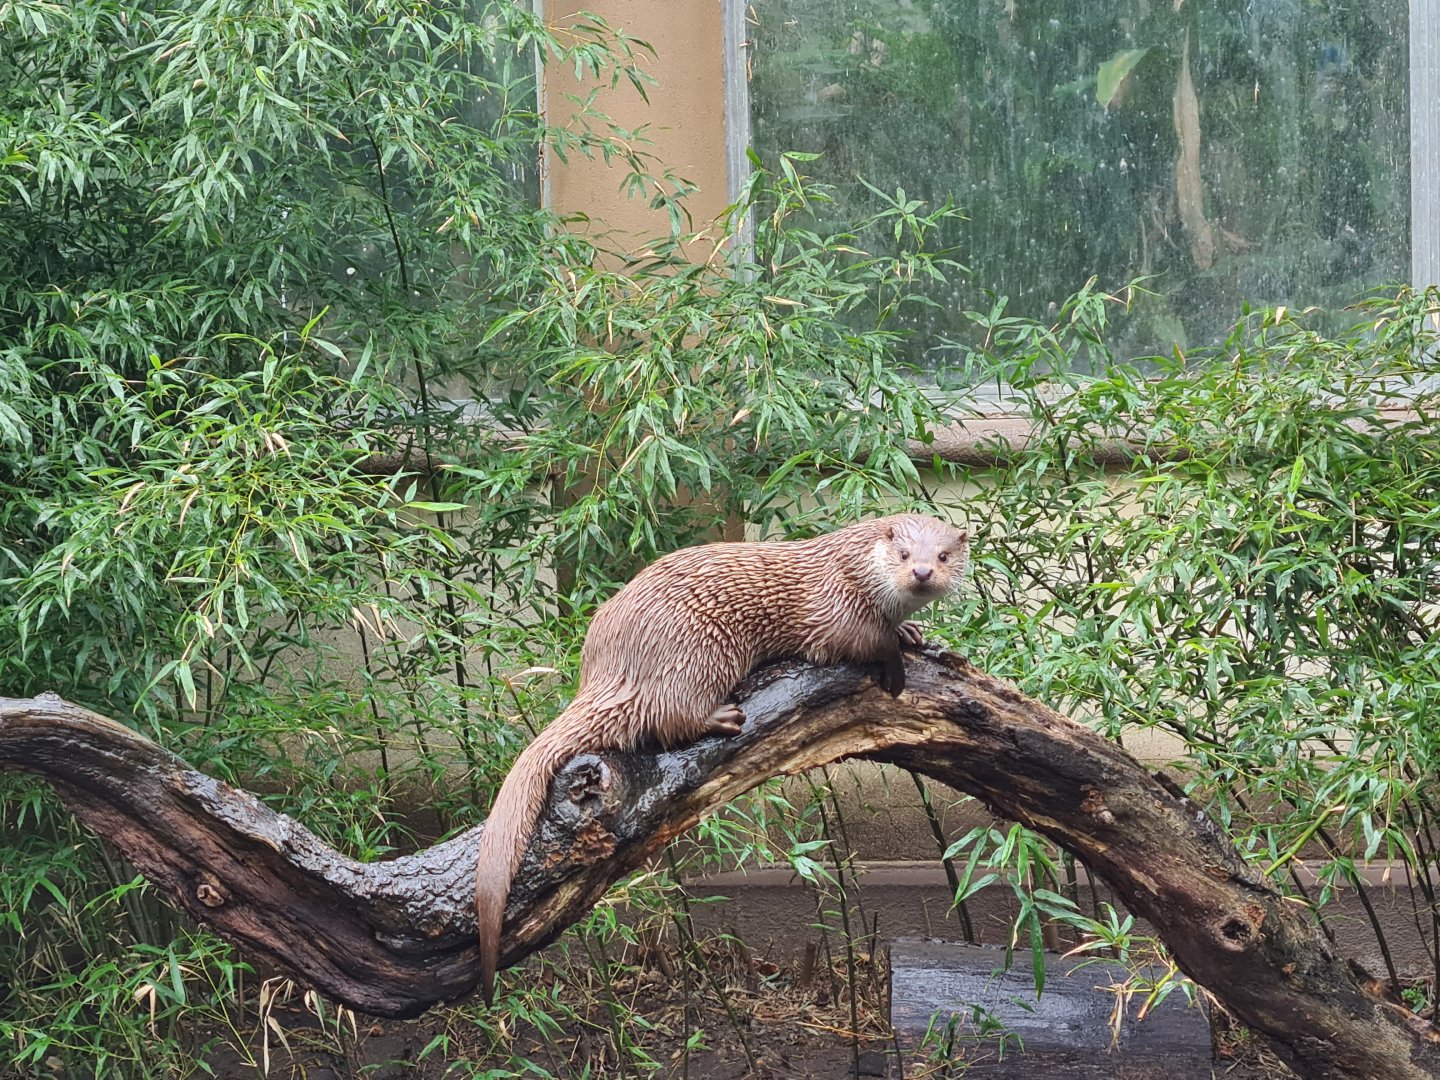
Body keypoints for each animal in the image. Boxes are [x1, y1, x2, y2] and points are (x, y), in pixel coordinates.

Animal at [474, 513, 968, 1003]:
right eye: (903, 554)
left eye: (943, 555)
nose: (922, 571)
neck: (852, 573)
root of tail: (614, 666)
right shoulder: (834, 609)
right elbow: (860, 641)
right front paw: (896, 659)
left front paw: (909, 632)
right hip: (698, 653)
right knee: (668, 716)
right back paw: (723, 717)